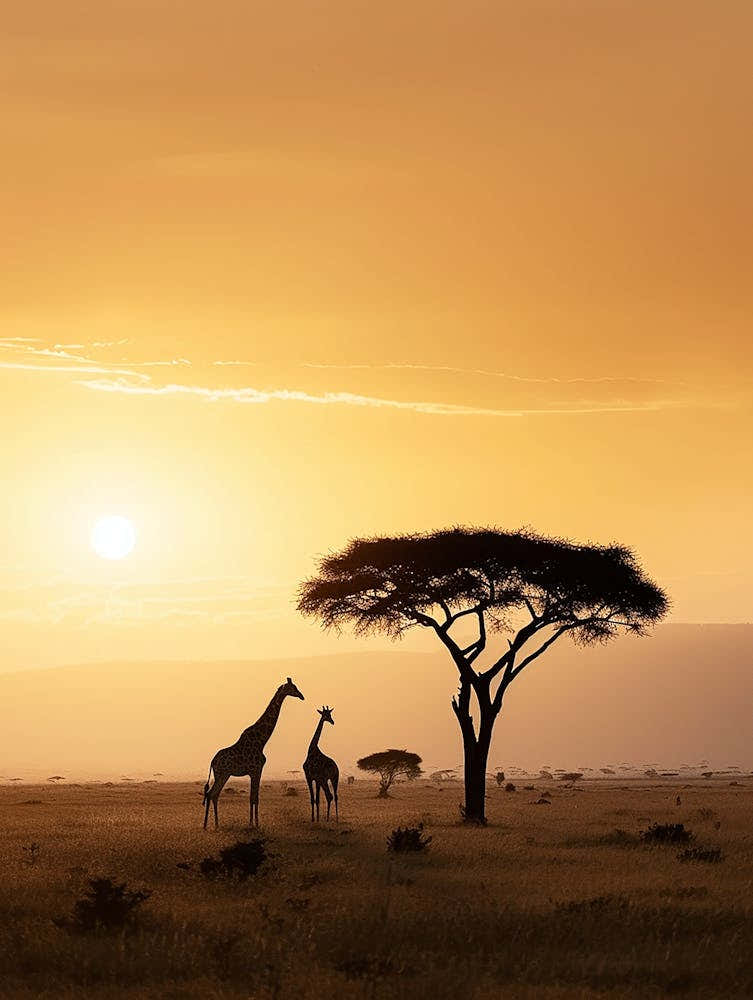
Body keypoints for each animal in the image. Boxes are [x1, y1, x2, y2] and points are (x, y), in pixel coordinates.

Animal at [203, 677, 304, 829]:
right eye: (293, 688)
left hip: (223, 774)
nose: (302, 696)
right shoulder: (256, 770)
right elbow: (254, 798)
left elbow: (254, 797)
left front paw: (253, 823)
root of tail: (212, 761)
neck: (262, 741)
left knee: (213, 794)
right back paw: (211, 825)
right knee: (212, 794)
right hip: (222, 773)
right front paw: (255, 824)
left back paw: (213, 824)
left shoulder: (254, 771)